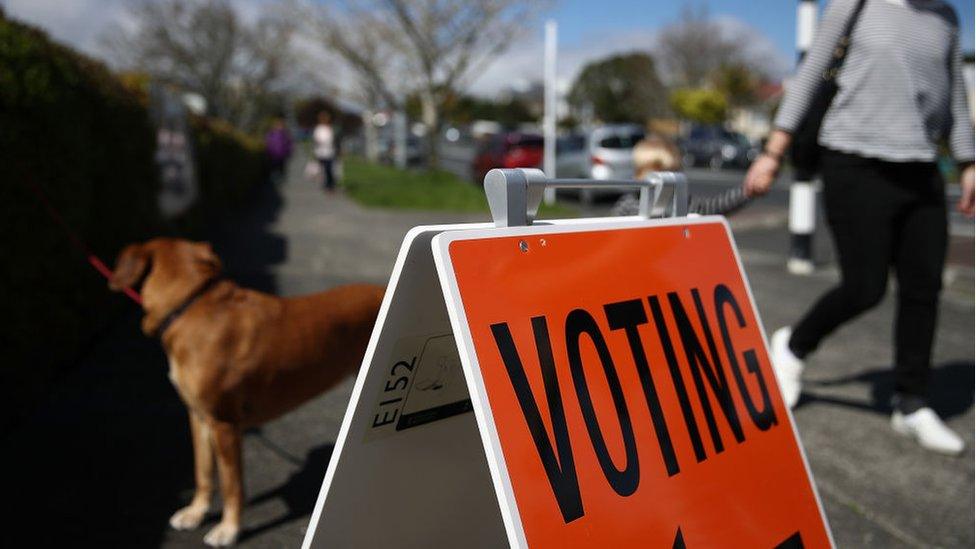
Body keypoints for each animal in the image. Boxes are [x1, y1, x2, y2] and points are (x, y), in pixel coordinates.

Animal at [107, 238, 382, 544]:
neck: (191, 305)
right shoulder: (199, 418)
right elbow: (203, 472)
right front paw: (196, 513)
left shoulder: (225, 425)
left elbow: (231, 485)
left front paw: (229, 529)